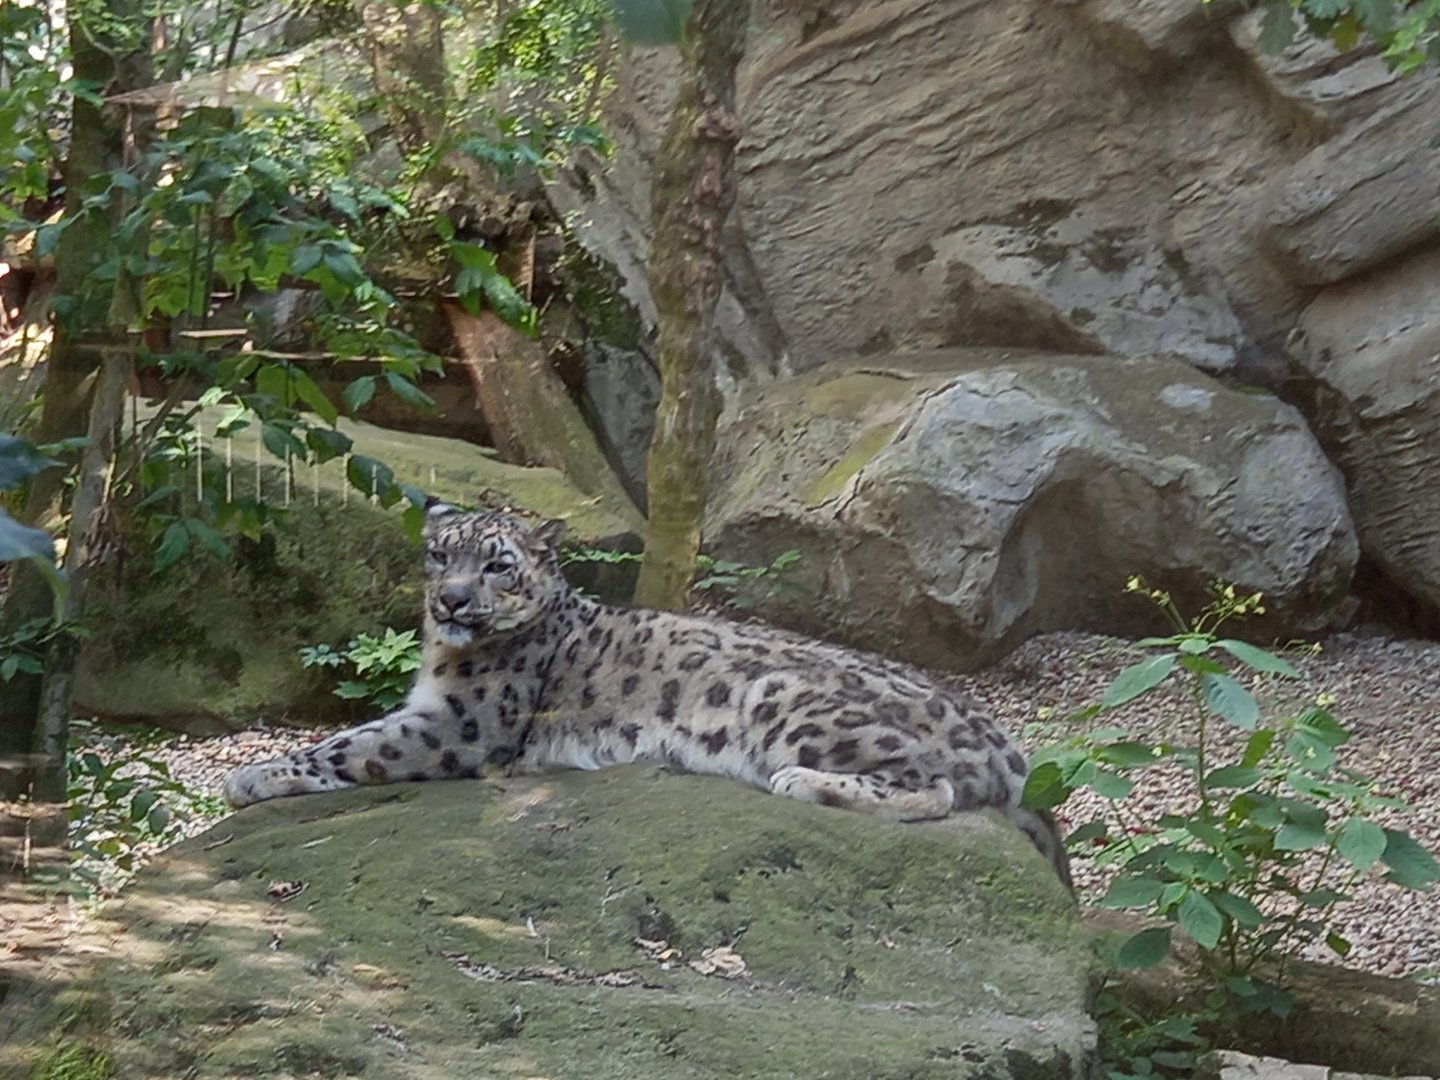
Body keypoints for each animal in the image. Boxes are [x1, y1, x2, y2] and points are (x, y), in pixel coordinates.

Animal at [223, 504, 1072, 888]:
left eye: (497, 564)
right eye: (440, 554)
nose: (452, 601)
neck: (443, 657)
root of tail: (1001, 740)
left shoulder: (458, 724)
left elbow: (352, 743)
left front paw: (253, 776)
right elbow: (354, 731)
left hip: (790, 699)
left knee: (933, 787)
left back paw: (801, 780)